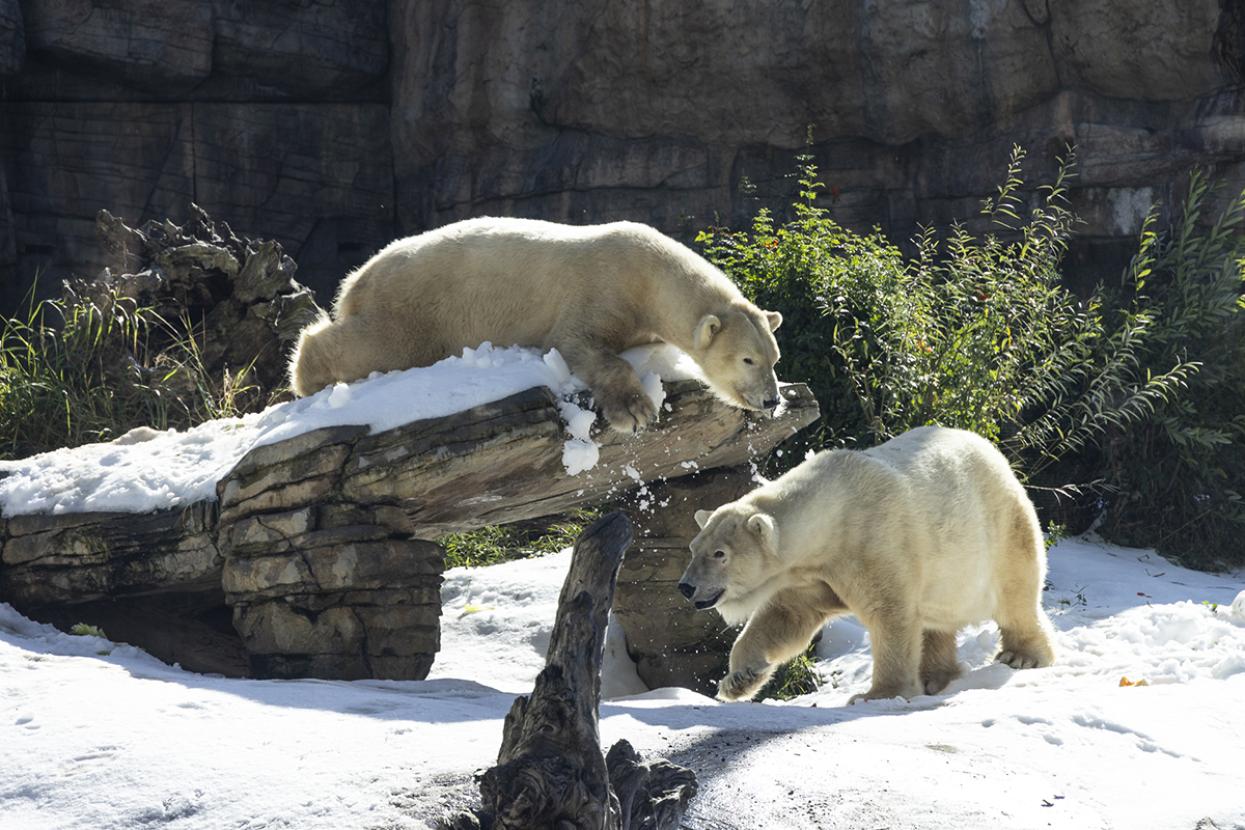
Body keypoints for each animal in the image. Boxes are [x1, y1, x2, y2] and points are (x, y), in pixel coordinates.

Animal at [288, 217, 785, 432]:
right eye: (747, 359)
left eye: (774, 358)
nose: (772, 399)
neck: (651, 276)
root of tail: (358, 277)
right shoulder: (604, 287)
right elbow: (578, 342)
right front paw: (635, 411)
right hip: (416, 307)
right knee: (376, 345)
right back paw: (307, 370)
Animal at [677, 425, 1057, 704]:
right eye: (694, 548)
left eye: (720, 554)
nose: (685, 586)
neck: (830, 511)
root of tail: (996, 455)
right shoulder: (812, 573)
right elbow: (784, 617)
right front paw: (737, 681)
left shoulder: (872, 541)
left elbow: (889, 613)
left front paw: (878, 695)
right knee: (937, 620)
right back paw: (937, 678)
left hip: (1001, 527)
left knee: (1015, 594)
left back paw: (1023, 656)